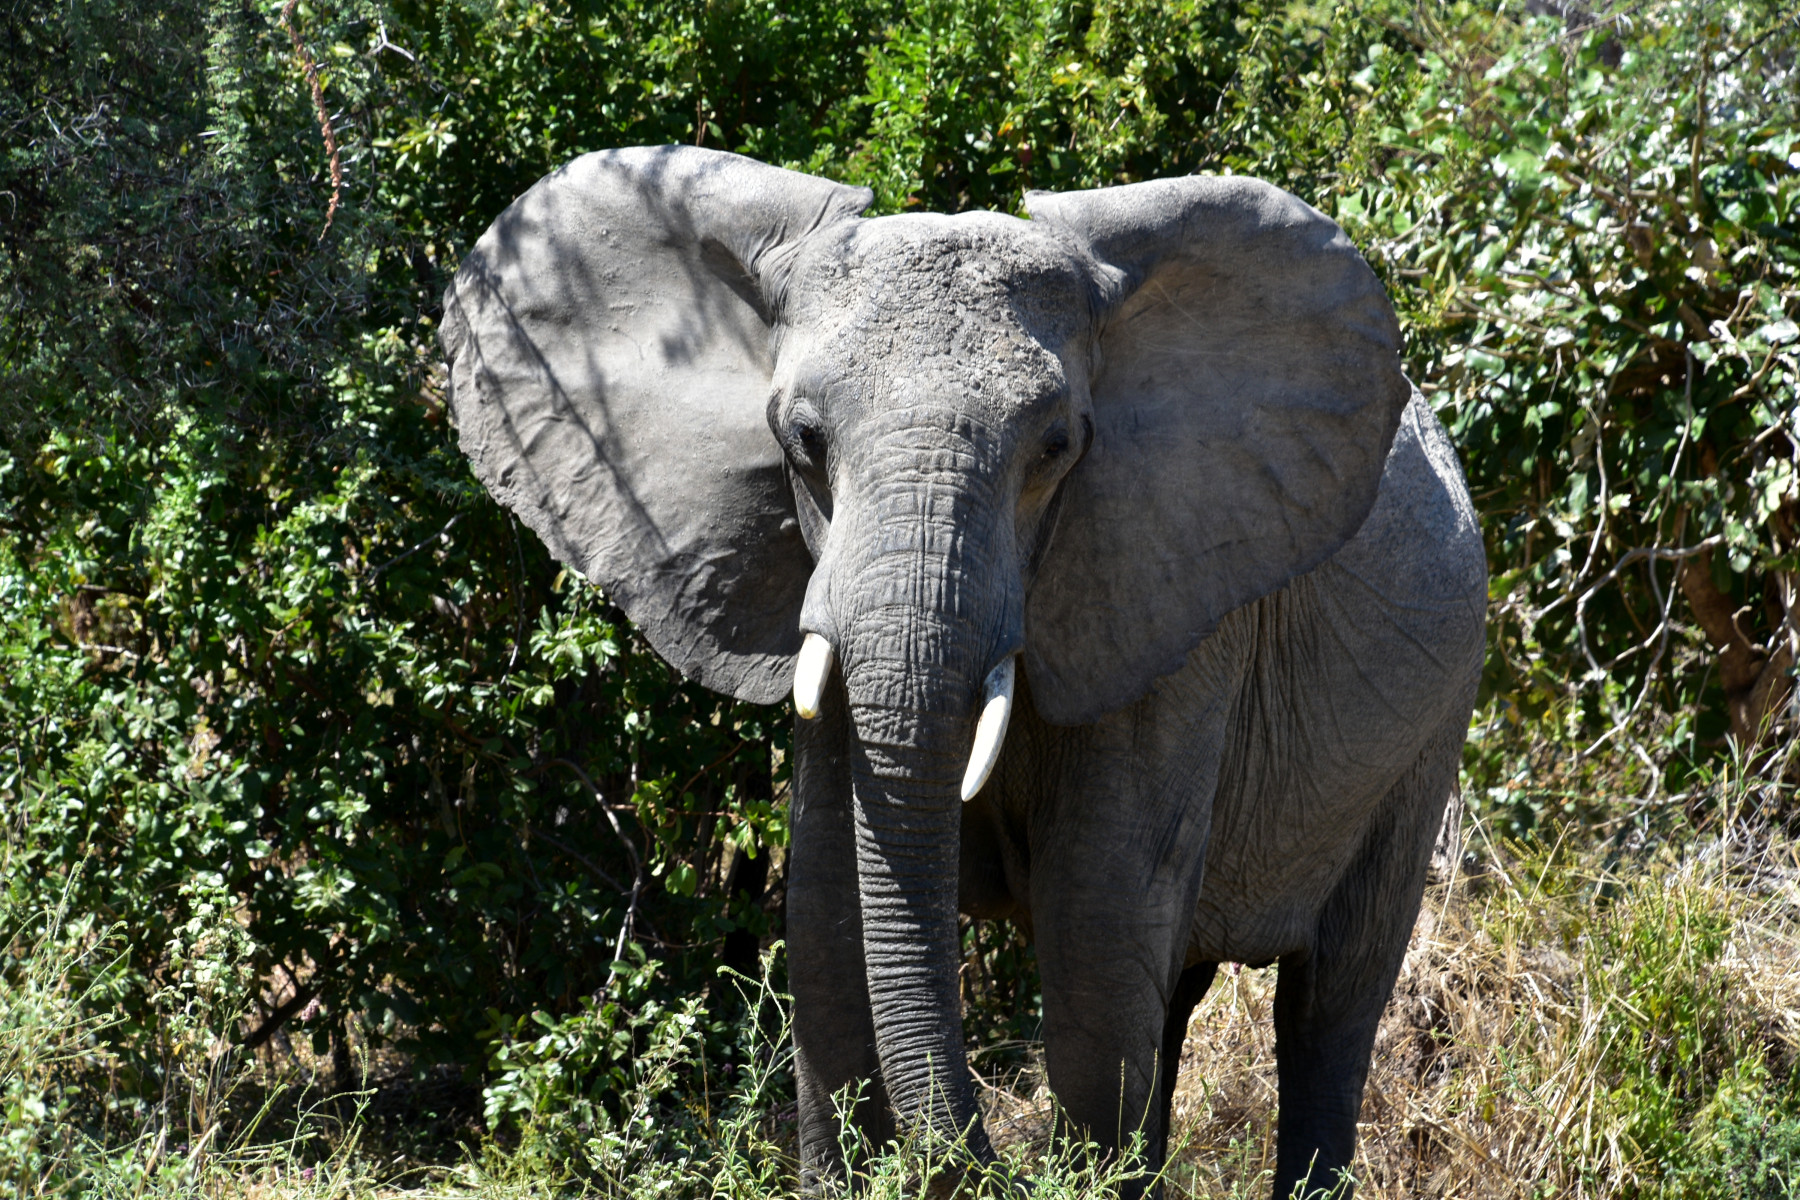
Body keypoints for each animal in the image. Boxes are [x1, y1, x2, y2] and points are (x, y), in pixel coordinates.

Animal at [442, 145, 1483, 1194]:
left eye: (1059, 448)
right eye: (801, 441)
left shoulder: (1172, 598)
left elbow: (1098, 935)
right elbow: (826, 922)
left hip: (1427, 737)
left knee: (1326, 1005)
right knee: (1180, 999)